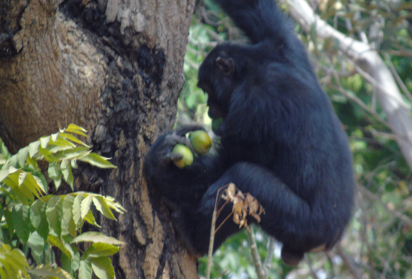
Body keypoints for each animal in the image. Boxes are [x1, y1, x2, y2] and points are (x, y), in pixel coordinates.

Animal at [143, 0, 356, 266]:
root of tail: (331, 240)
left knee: (245, 177)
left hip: (305, 226)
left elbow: (222, 167)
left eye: (207, 90)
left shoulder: (252, 108)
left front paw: (159, 163)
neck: (253, 67)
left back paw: (194, 237)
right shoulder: (282, 43)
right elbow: (254, 8)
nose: (210, 109)